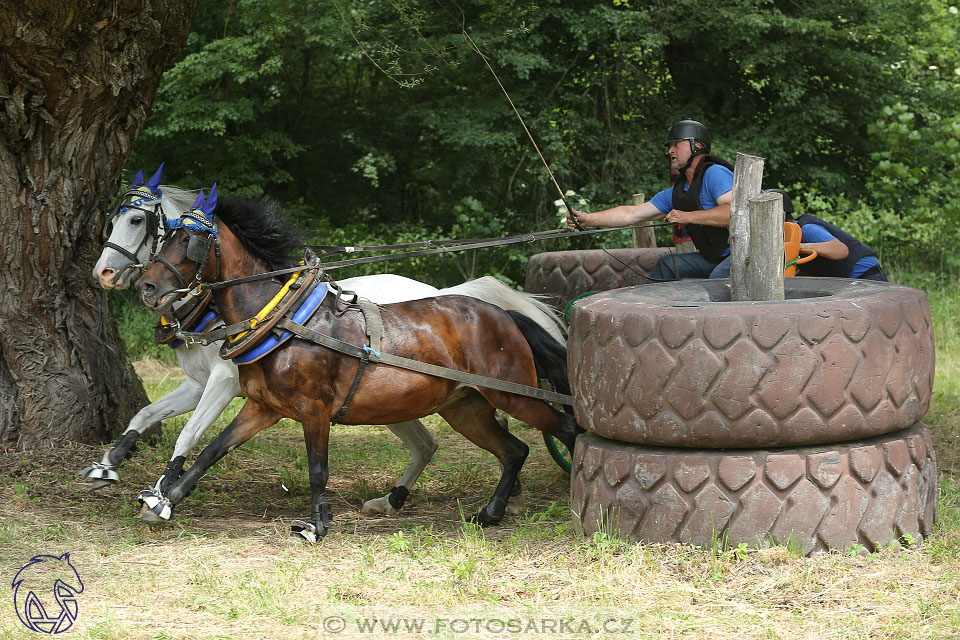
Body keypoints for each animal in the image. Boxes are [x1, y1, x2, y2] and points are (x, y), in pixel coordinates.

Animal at [84, 166, 564, 520]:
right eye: (114, 219)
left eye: (138, 220)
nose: (105, 274)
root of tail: (454, 293)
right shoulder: (202, 384)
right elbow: (148, 415)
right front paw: (113, 462)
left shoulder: (223, 382)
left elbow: (188, 434)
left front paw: (158, 489)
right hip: (412, 400)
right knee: (436, 442)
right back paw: (399, 499)